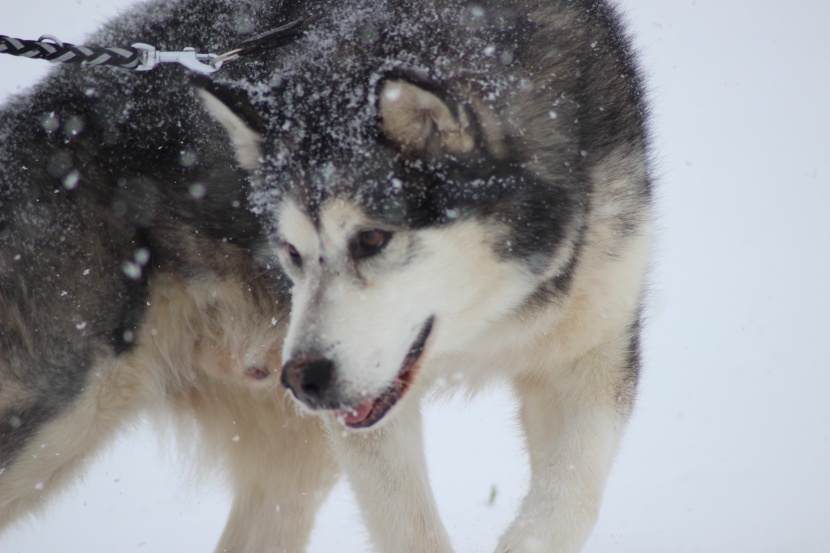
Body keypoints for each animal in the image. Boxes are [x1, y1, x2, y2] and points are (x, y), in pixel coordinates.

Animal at [1, 0, 656, 548]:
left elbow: (568, 504)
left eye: (370, 239)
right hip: (58, 409)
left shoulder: (591, 357)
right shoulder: (369, 421)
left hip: (291, 460)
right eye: (290, 251)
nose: (304, 379)